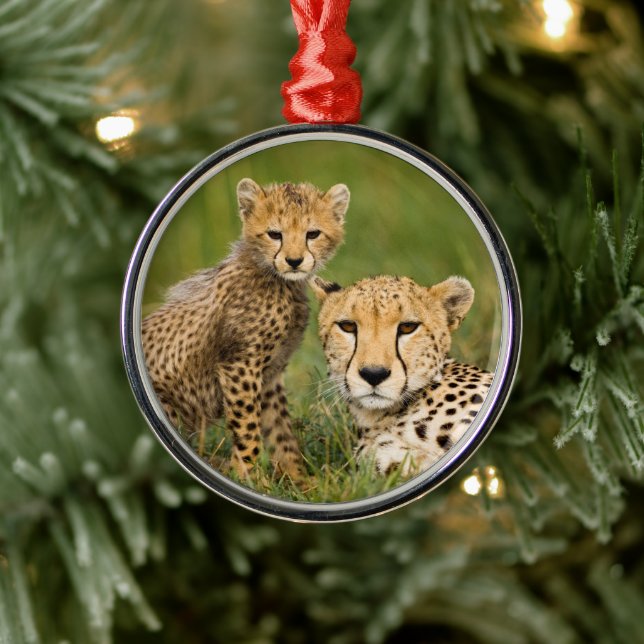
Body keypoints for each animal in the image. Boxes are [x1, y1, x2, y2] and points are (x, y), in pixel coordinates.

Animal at [142, 178, 350, 481]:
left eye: (313, 234)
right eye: (275, 234)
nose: (294, 261)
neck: (278, 281)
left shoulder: (270, 374)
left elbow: (280, 431)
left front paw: (298, 480)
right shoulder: (240, 366)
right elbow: (247, 428)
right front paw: (249, 478)